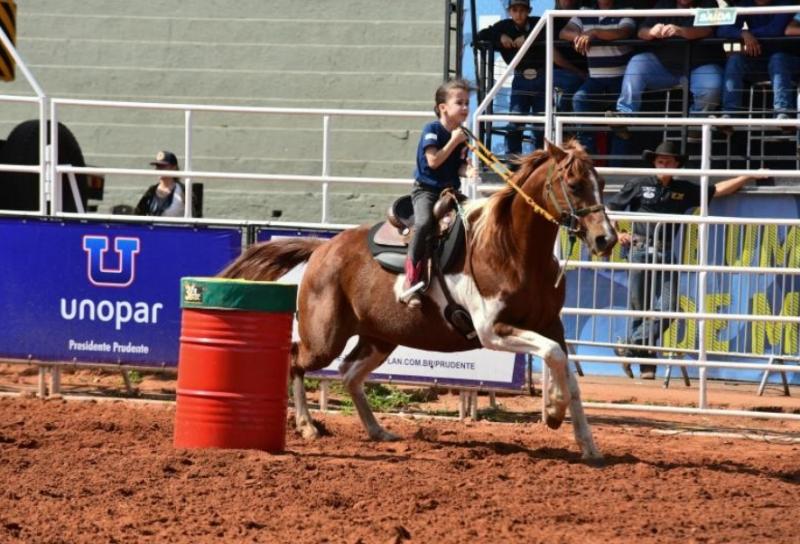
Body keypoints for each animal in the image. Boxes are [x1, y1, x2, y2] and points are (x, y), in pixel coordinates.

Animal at [222, 139, 616, 460]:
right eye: (574, 184)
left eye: (601, 184)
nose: (606, 239)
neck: (511, 249)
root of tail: (322, 248)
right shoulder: (493, 330)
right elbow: (553, 355)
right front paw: (554, 412)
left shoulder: (552, 324)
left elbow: (567, 369)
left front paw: (586, 443)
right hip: (324, 339)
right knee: (295, 360)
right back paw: (306, 426)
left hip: (379, 338)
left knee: (349, 375)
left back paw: (378, 430)